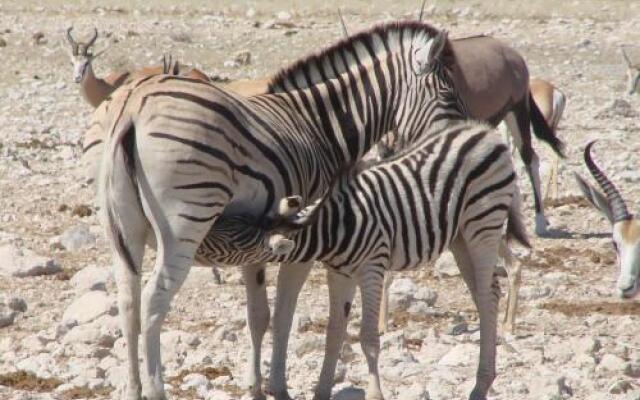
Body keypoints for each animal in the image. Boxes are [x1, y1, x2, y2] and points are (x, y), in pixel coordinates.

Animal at [100, 21, 468, 400]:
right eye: (448, 95)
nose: (462, 138)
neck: (320, 128)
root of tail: (133, 109)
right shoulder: (307, 239)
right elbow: (284, 316)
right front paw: (279, 386)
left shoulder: (254, 245)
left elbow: (258, 316)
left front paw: (256, 387)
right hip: (185, 225)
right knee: (152, 302)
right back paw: (156, 389)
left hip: (123, 231)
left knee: (128, 305)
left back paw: (133, 388)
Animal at [210, 120, 528, 398]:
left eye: (230, 241)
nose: (200, 240)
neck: (334, 228)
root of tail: (484, 132)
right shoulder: (340, 273)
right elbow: (334, 332)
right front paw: (321, 391)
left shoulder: (372, 268)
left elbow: (368, 338)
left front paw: (375, 393)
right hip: (459, 236)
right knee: (484, 295)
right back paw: (483, 382)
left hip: (483, 225)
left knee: (487, 295)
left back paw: (480, 386)